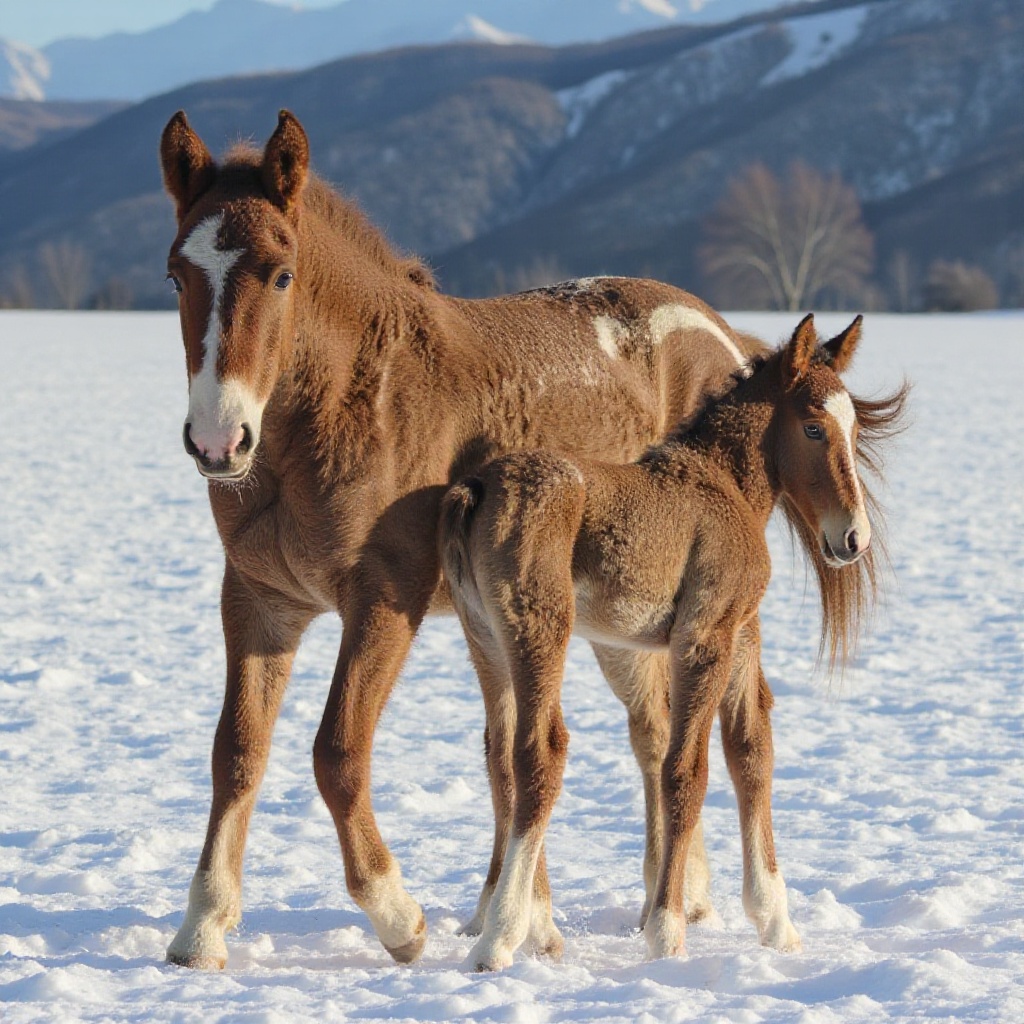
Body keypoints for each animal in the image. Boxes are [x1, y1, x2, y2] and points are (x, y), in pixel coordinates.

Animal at [159, 107, 768, 971]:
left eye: (280, 274)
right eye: (177, 276)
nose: (219, 440)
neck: (351, 400)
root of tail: (724, 334)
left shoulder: (385, 596)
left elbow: (337, 752)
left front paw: (398, 916)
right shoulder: (258, 599)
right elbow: (236, 752)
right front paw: (202, 926)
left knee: (742, 732)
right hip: (620, 624)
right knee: (653, 732)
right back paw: (671, 896)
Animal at [439, 314, 909, 969]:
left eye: (855, 427)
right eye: (814, 427)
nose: (852, 539)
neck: (726, 483)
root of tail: (476, 489)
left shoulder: (736, 633)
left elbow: (750, 752)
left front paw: (775, 921)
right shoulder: (703, 636)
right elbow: (687, 770)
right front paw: (667, 930)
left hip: (485, 640)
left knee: (500, 756)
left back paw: (522, 922)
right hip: (540, 632)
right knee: (540, 754)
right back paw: (505, 934)